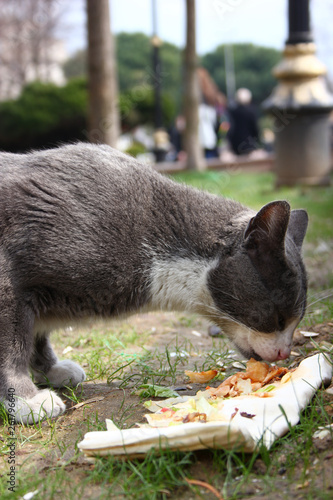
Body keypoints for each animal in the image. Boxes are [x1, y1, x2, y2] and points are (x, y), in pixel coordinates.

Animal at [0, 143, 306, 424]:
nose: (285, 352)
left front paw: (51, 371)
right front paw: (26, 400)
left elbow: (38, 337)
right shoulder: (9, 282)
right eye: (279, 318)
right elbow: (13, 346)